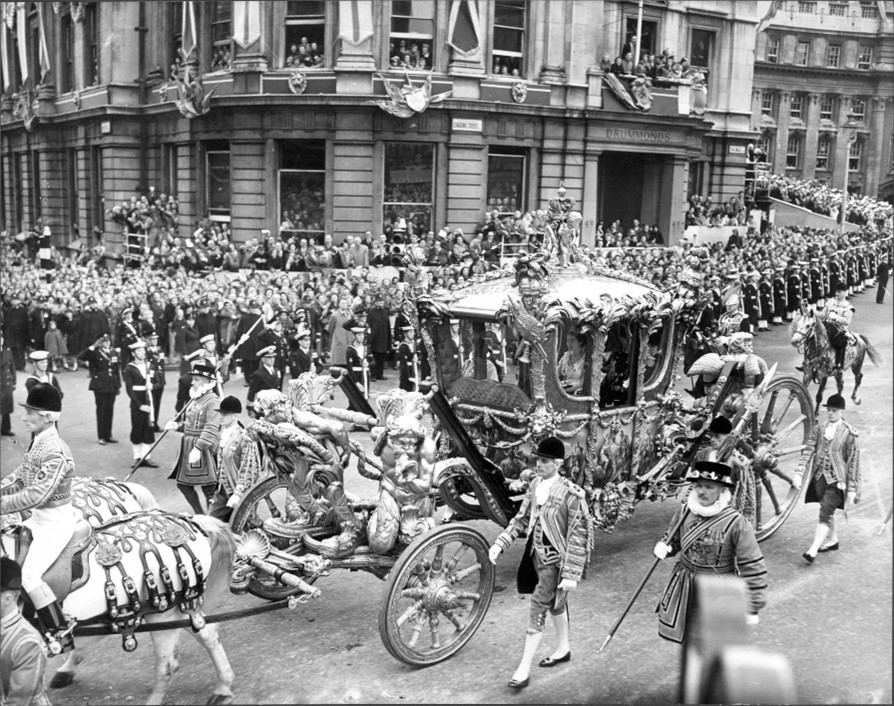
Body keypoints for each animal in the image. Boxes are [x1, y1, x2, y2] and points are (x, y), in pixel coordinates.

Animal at [0, 476, 238, 700]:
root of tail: (189, 524)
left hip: (164, 612)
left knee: (168, 664)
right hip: (175, 605)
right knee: (207, 633)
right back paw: (224, 686)